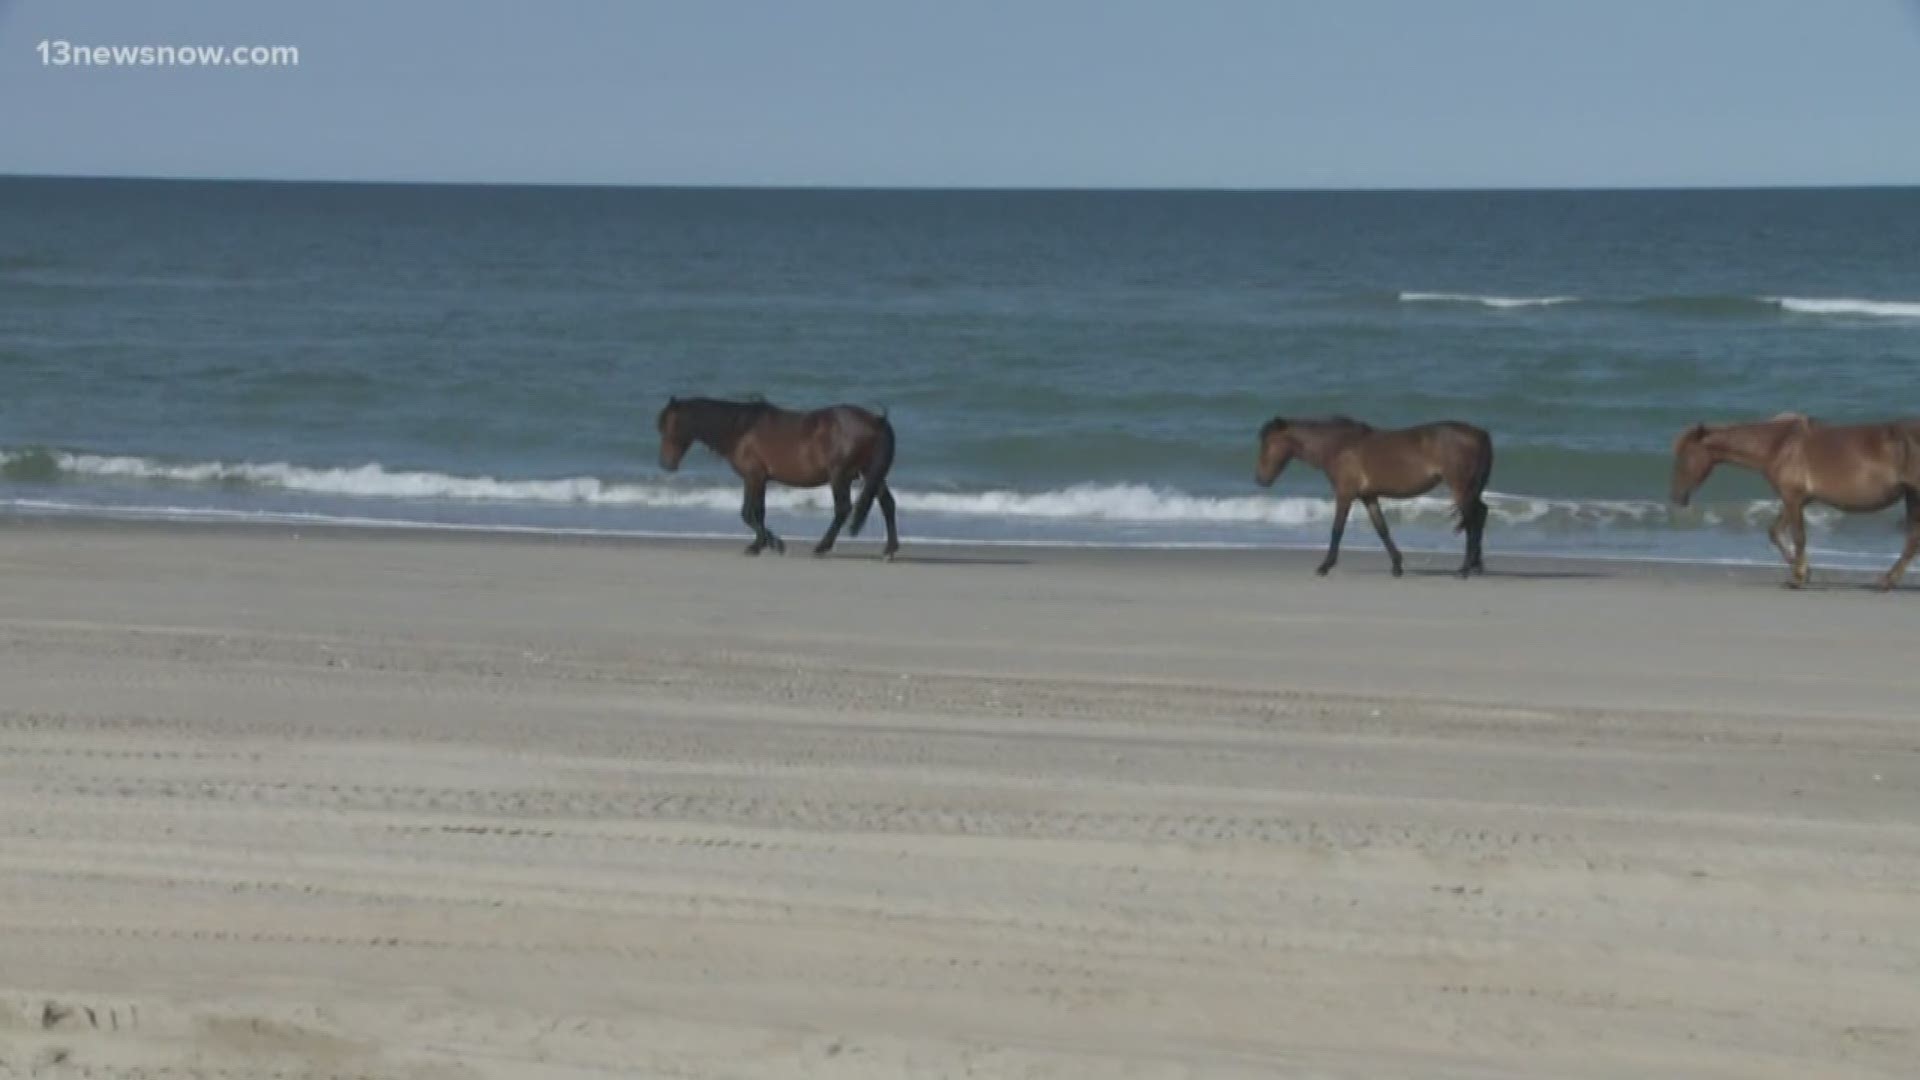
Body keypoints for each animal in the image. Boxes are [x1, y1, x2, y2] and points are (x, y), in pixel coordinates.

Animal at [657, 397, 899, 560]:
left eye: (668, 427)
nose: (666, 464)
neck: (742, 431)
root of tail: (877, 420)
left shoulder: (753, 476)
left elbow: (748, 513)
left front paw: (767, 544)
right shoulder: (760, 478)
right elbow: (758, 512)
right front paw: (765, 543)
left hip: (840, 475)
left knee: (843, 509)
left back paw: (822, 546)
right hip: (872, 474)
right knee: (887, 504)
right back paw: (889, 549)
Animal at [1255, 416, 1494, 578]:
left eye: (1268, 444)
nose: (1260, 479)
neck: (1338, 446)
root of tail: (1479, 433)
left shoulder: (1345, 495)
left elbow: (1337, 529)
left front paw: (1325, 566)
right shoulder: (1368, 496)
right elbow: (1382, 529)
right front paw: (1397, 566)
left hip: (1461, 487)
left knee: (1472, 519)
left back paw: (1464, 569)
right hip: (1470, 489)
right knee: (1480, 514)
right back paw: (1476, 566)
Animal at [1670, 414, 1920, 590]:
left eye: (1685, 456)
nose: (1676, 497)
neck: (1779, 445)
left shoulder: (1792, 498)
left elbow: (1798, 537)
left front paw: (1798, 578)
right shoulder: (1797, 500)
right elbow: (1775, 531)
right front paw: (1804, 571)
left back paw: (1886, 581)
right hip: (1912, 496)